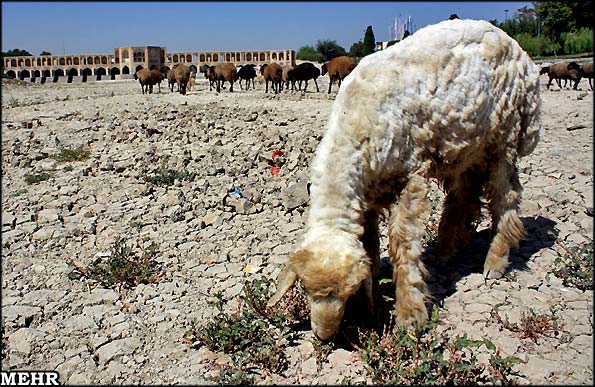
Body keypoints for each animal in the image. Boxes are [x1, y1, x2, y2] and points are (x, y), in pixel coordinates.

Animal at [268, 19, 544, 340]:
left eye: (344, 294)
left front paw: (410, 315)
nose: (324, 335)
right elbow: (369, 245)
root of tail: (517, 47)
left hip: (505, 136)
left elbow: (402, 242)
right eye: (307, 290)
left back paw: (495, 262)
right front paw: (368, 307)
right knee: (464, 194)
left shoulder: (411, 175)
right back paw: (447, 250)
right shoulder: (368, 194)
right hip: (465, 144)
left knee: (505, 198)